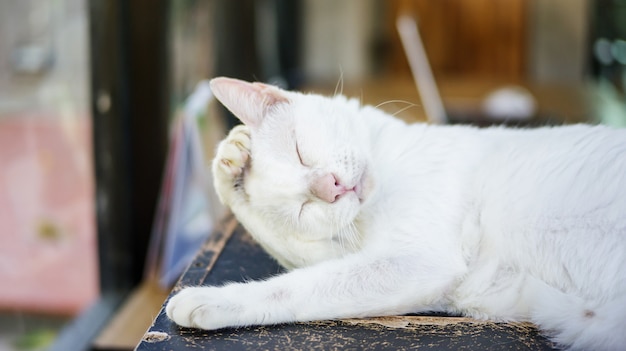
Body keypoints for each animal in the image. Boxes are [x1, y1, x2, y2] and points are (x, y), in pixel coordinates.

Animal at [166, 77, 624, 351]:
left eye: (299, 150)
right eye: (303, 208)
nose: (330, 187)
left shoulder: (419, 261)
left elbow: (290, 289)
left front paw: (206, 299)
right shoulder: (385, 259)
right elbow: (294, 262)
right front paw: (231, 167)